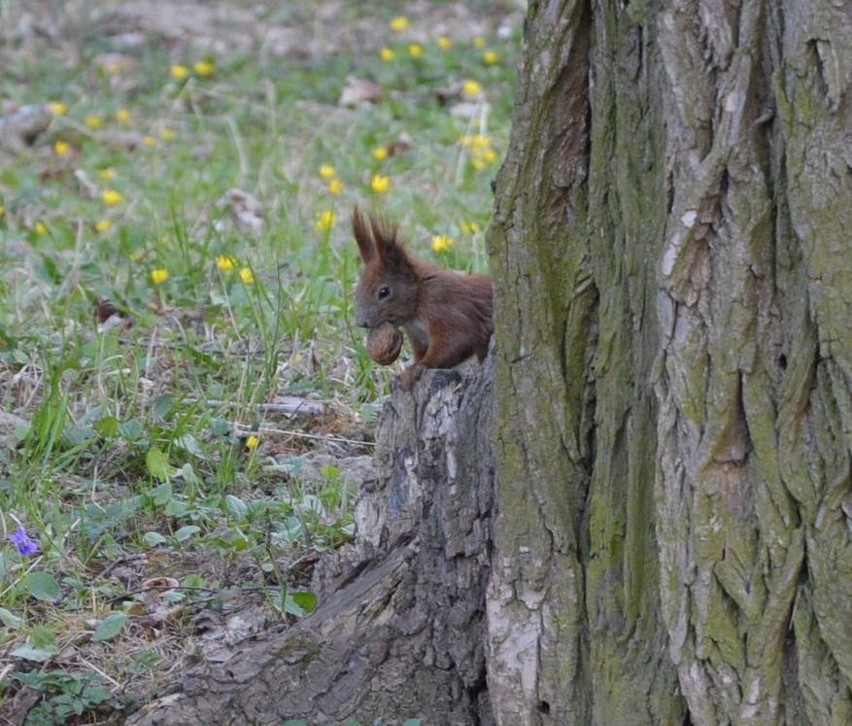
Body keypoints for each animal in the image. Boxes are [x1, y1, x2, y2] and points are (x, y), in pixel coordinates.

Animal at [352, 209, 496, 392]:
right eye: (358, 288)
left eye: (384, 292)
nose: (361, 322)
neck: (419, 296)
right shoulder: (418, 336)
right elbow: (422, 352)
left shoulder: (444, 307)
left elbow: (460, 339)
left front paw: (417, 368)